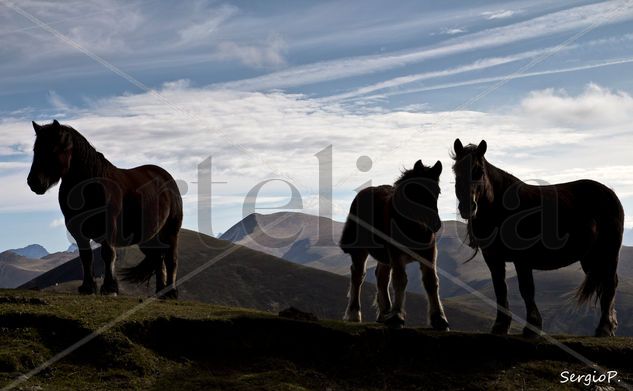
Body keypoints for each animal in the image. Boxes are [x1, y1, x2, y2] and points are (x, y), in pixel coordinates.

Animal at [27, 121, 183, 298]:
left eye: (53, 149)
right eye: (35, 150)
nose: (34, 182)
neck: (89, 188)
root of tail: (166, 177)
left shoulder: (108, 229)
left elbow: (108, 254)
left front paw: (110, 287)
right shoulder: (78, 231)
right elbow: (86, 257)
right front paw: (87, 287)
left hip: (171, 232)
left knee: (171, 260)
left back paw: (171, 292)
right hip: (148, 237)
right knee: (158, 260)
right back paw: (160, 292)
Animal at [338, 160, 446, 330]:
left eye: (438, 191)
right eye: (416, 190)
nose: (434, 224)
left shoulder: (429, 253)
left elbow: (431, 282)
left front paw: (439, 319)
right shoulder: (396, 253)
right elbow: (400, 280)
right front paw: (397, 317)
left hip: (385, 257)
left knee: (381, 277)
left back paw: (384, 314)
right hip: (361, 250)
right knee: (358, 275)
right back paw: (355, 314)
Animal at [452, 139, 624, 338]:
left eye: (479, 171)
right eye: (456, 170)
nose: (468, 207)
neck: (502, 207)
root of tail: (610, 193)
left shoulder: (521, 259)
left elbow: (526, 290)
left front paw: (532, 326)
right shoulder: (493, 258)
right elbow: (500, 288)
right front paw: (501, 326)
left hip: (608, 253)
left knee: (609, 284)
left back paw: (604, 328)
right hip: (590, 257)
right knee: (603, 284)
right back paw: (609, 326)